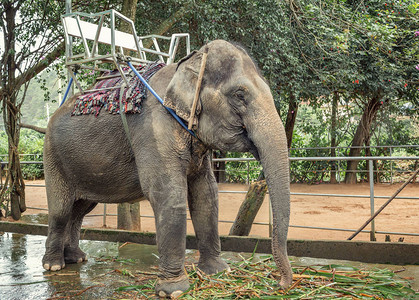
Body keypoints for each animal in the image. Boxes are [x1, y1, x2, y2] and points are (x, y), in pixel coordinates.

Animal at [42, 39, 292, 296]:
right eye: (239, 95)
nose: (280, 284)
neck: (185, 65)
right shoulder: (153, 128)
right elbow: (168, 194)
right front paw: (174, 291)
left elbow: (206, 194)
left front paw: (217, 272)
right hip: (53, 157)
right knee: (61, 210)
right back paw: (54, 265)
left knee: (80, 209)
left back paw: (77, 259)